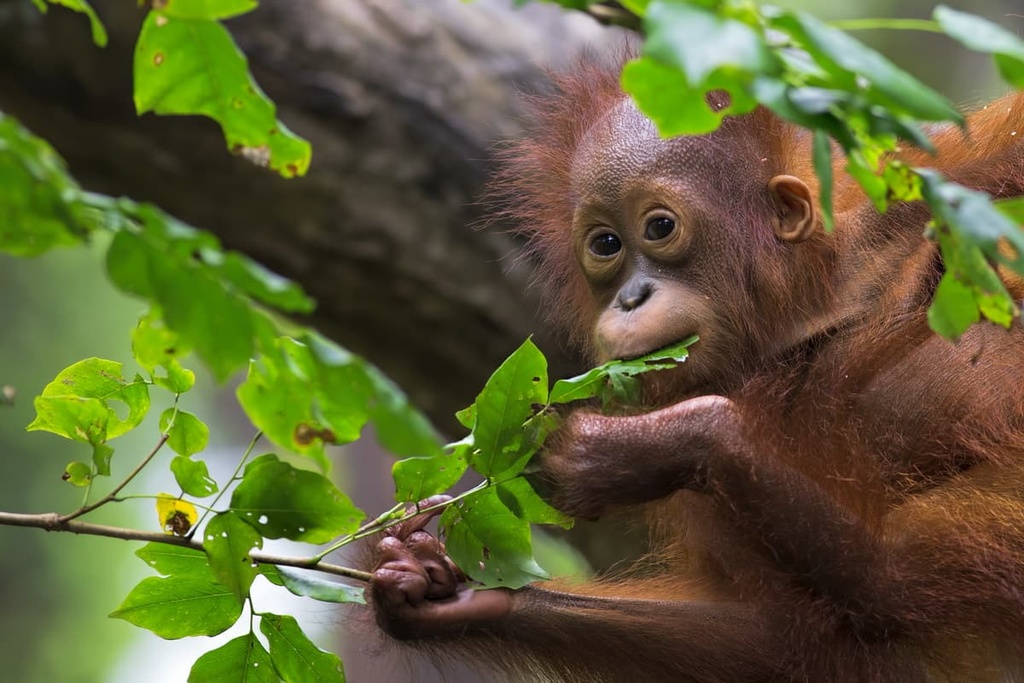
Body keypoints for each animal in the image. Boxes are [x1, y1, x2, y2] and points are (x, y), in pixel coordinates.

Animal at [369, 61, 1024, 682]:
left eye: (660, 227)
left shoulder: (953, 181)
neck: (805, 314)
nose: (631, 298)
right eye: (605, 244)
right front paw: (449, 592)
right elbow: (778, 638)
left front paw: (634, 449)